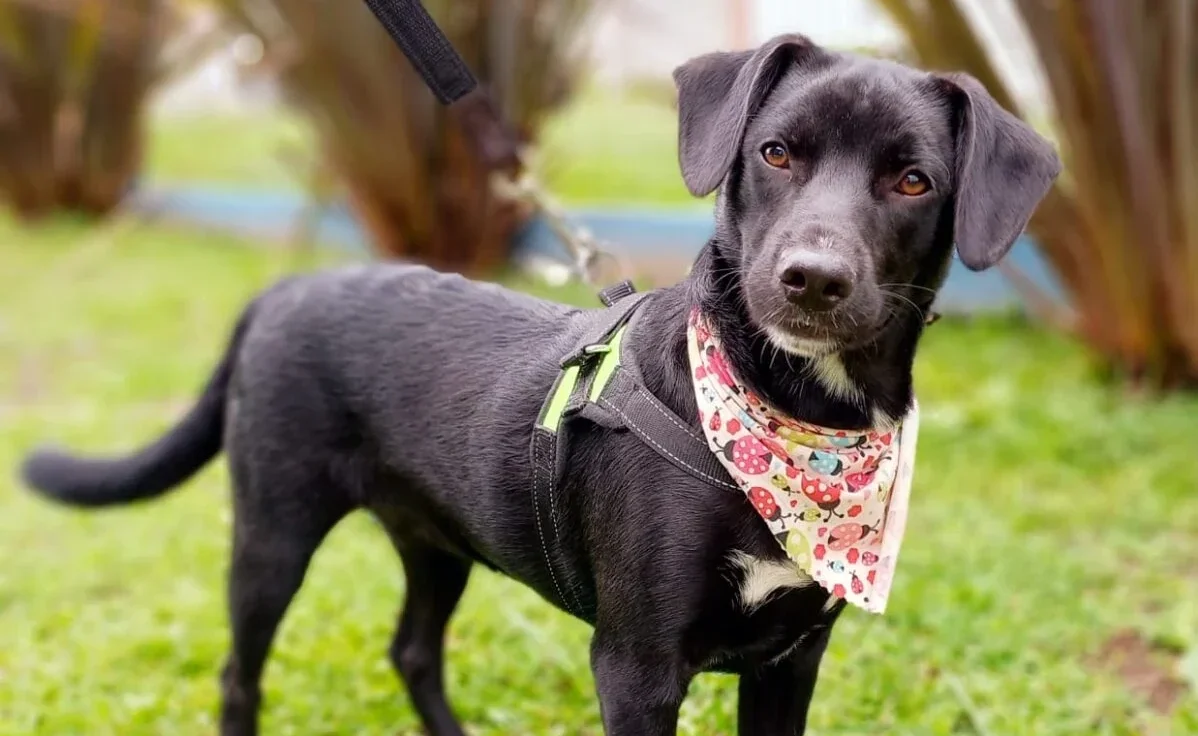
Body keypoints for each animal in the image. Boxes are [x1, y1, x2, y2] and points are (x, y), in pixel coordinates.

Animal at [21, 34, 1059, 736]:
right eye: (775, 153)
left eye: (914, 181)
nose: (812, 278)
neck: (790, 414)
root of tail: (283, 288)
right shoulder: (635, 666)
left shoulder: (789, 665)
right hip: (272, 531)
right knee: (241, 673)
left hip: (434, 535)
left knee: (412, 649)